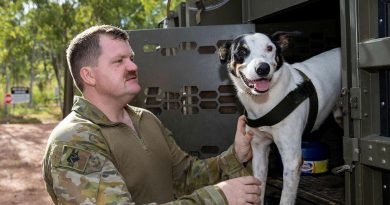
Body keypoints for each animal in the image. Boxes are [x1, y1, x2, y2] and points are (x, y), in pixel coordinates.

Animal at [219, 32, 342, 204]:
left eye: (270, 48)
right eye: (242, 51)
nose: (263, 68)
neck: (264, 102)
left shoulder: (292, 161)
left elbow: (286, 198)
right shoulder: (259, 150)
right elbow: (259, 188)